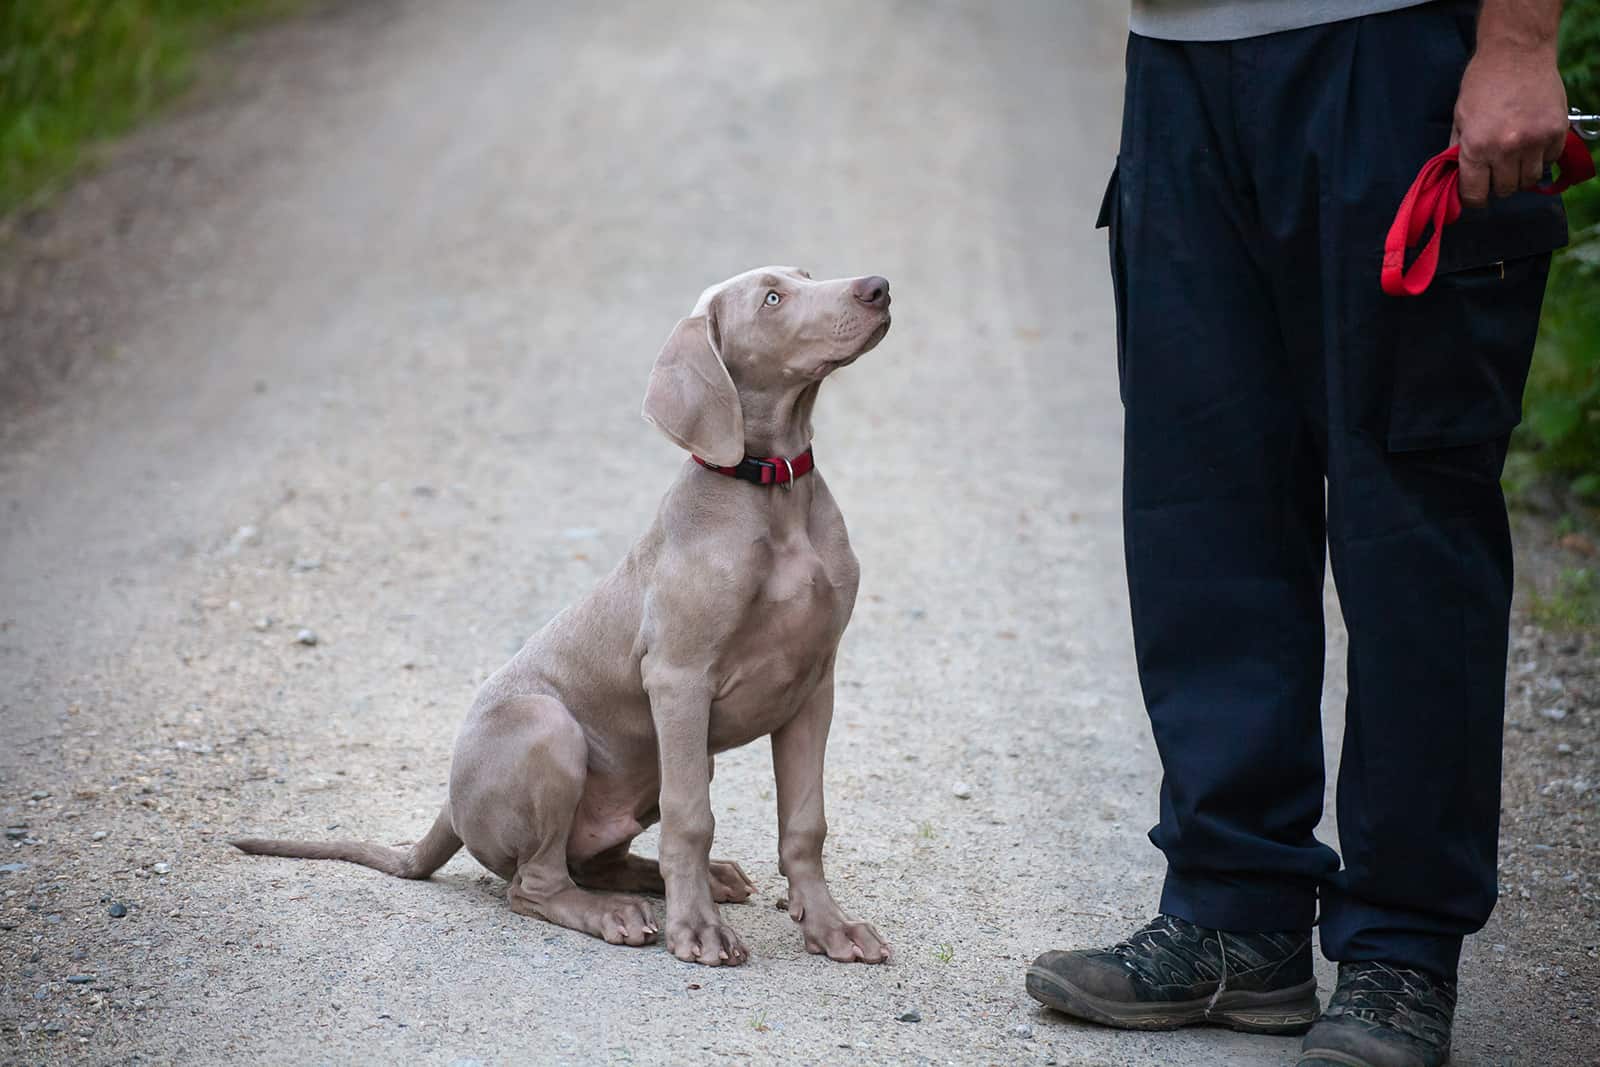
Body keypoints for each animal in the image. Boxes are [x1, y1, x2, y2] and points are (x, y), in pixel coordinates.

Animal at [233, 267, 896, 966]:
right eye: (772, 298)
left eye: (804, 276)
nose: (877, 286)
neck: (774, 490)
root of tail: (449, 805)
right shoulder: (679, 679)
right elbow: (691, 818)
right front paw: (699, 930)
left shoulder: (814, 682)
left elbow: (805, 821)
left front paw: (831, 928)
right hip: (549, 728)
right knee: (535, 884)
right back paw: (617, 914)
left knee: (595, 861)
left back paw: (685, 882)